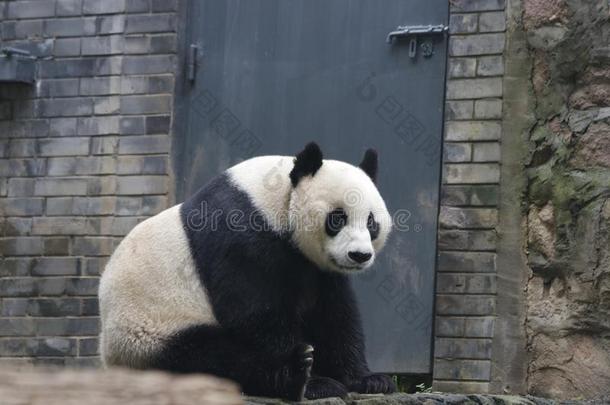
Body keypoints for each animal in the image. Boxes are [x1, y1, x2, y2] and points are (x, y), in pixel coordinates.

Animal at [98, 141, 394, 398]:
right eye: (337, 218)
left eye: (371, 222)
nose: (359, 255)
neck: (272, 199)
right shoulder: (240, 236)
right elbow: (255, 311)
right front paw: (314, 378)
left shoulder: (315, 267)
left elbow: (334, 314)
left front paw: (369, 379)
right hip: (149, 333)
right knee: (212, 358)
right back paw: (295, 377)